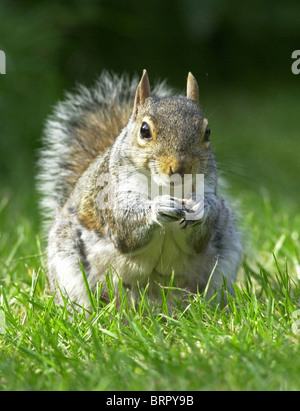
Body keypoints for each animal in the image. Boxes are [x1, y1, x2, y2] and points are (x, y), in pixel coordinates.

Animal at [38, 70, 241, 312]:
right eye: (144, 130)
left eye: (207, 132)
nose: (181, 167)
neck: (167, 187)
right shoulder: (109, 195)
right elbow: (125, 225)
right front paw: (158, 208)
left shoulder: (208, 188)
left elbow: (200, 238)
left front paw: (201, 208)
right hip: (70, 267)